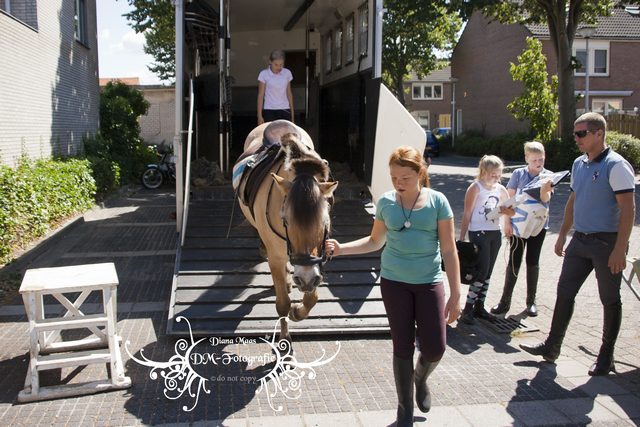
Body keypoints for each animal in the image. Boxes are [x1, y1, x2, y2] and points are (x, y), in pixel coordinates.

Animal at [235, 121, 338, 346]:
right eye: (285, 220)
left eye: (325, 220)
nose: (306, 279)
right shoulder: (275, 258)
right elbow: (282, 303)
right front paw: (284, 340)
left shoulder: (315, 263)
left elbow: (311, 298)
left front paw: (297, 311)